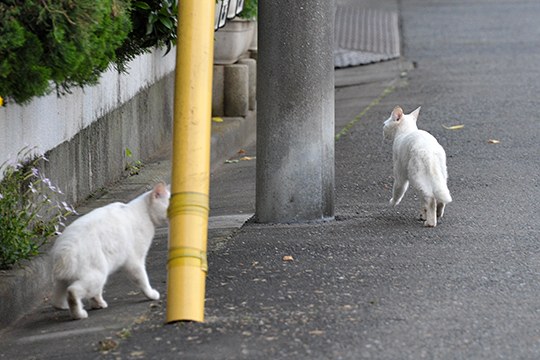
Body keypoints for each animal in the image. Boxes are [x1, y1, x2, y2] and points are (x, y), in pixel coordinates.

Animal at [51, 184, 170, 320]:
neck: (144, 212)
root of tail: (63, 252)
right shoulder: (135, 262)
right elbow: (143, 280)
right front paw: (151, 295)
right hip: (98, 274)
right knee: (73, 291)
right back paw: (79, 314)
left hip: (65, 280)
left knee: (59, 300)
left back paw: (93, 305)